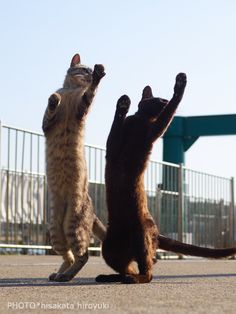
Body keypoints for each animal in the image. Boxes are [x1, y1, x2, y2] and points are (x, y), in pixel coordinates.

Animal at [42, 53, 106, 282]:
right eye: (84, 69)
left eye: (91, 70)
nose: (91, 74)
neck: (71, 92)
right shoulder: (46, 125)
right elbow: (51, 107)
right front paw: (54, 98)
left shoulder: (82, 110)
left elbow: (90, 94)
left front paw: (98, 79)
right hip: (55, 231)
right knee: (68, 255)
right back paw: (59, 274)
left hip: (73, 226)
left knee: (83, 255)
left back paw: (66, 276)